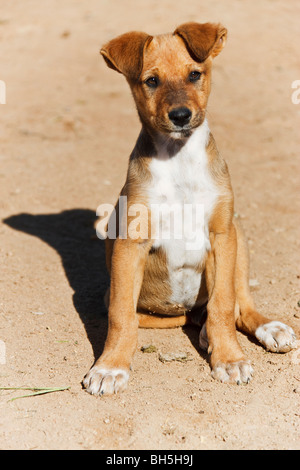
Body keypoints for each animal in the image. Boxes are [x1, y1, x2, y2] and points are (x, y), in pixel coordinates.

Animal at [83, 23, 296, 396]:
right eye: (151, 81)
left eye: (195, 74)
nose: (181, 116)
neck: (178, 159)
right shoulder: (130, 244)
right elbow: (121, 316)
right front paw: (110, 367)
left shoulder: (221, 236)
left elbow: (224, 305)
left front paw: (229, 359)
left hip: (239, 240)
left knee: (240, 306)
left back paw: (267, 327)